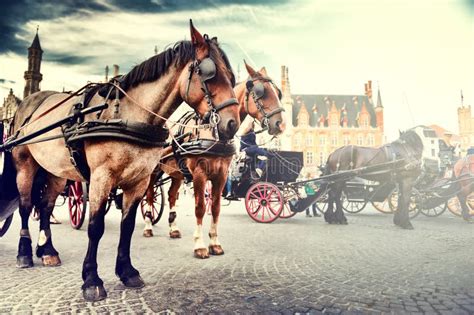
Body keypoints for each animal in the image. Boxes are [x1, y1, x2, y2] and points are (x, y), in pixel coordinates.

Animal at [3, 21, 241, 302]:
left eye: (232, 76)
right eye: (209, 73)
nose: (232, 124)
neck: (129, 115)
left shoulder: (138, 181)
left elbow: (128, 225)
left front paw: (127, 272)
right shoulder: (101, 177)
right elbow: (95, 227)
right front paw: (91, 280)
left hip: (56, 172)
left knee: (46, 205)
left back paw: (48, 251)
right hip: (25, 165)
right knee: (26, 206)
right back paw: (25, 254)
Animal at [142, 62, 286, 260]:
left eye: (278, 92)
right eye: (260, 91)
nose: (280, 124)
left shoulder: (221, 175)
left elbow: (216, 208)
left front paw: (215, 244)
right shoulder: (199, 174)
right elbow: (200, 208)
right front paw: (200, 246)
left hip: (177, 173)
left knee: (171, 195)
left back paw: (173, 229)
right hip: (154, 171)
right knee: (149, 195)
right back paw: (148, 227)